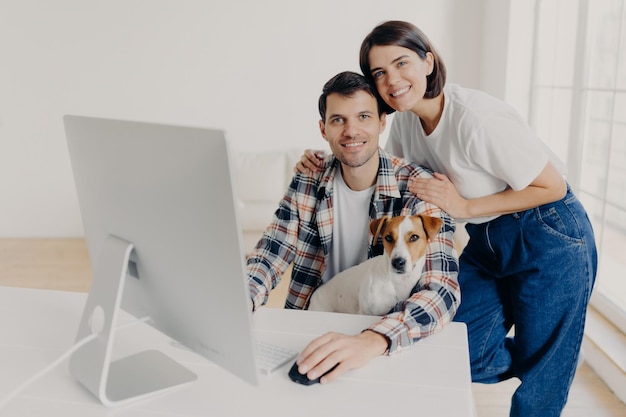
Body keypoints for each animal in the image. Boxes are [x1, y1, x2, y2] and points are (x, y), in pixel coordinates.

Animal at [306, 214, 442, 316]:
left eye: (414, 237)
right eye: (388, 237)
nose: (397, 262)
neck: (395, 281)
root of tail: (316, 293)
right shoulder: (364, 312)